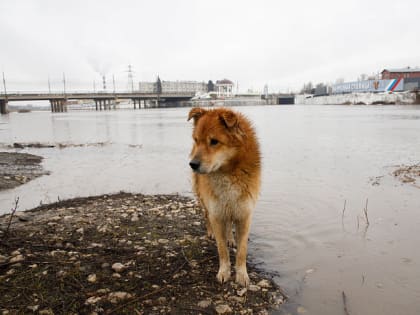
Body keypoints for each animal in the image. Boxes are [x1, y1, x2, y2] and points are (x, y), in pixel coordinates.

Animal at [187, 107, 260, 288]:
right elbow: (222, 249)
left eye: (214, 141)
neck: (227, 171)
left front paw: (242, 275)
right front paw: (224, 272)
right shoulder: (217, 213)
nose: (192, 164)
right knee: (207, 217)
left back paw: (231, 239)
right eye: (196, 140)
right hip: (205, 201)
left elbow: (242, 250)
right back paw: (211, 233)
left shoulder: (244, 213)